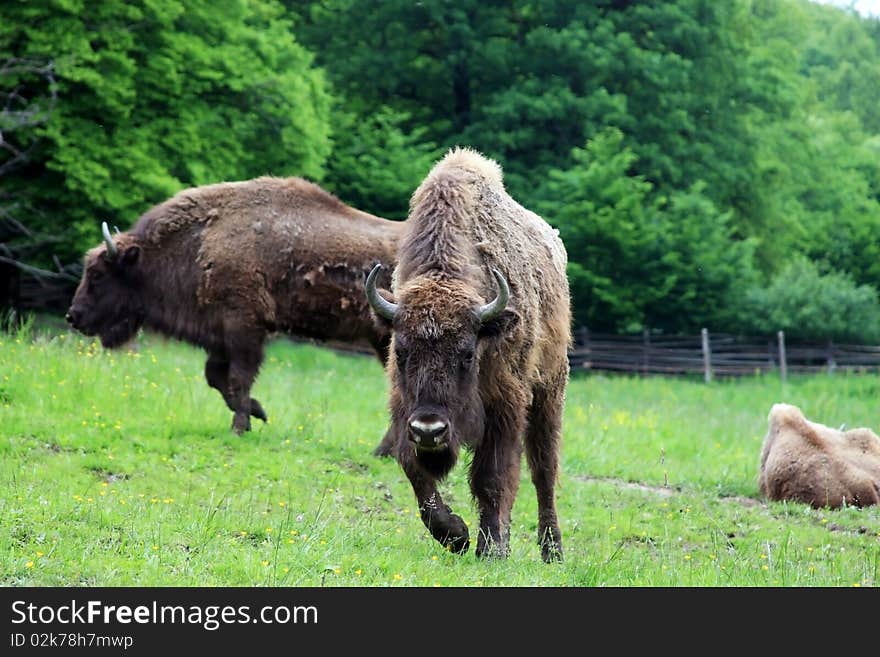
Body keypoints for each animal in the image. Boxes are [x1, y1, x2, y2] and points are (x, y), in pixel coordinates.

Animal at [69, 174, 406, 434]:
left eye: (97, 274)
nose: (74, 316)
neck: (204, 238)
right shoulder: (219, 335)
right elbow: (216, 378)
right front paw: (258, 412)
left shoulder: (244, 328)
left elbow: (238, 378)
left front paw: (241, 425)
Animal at [364, 146, 572, 560]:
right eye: (402, 352)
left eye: (467, 355)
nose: (430, 429)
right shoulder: (404, 409)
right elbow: (413, 468)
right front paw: (456, 535)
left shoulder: (505, 406)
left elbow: (493, 476)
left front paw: (491, 548)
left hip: (549, 391)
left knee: (544, 471)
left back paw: (552, 550)